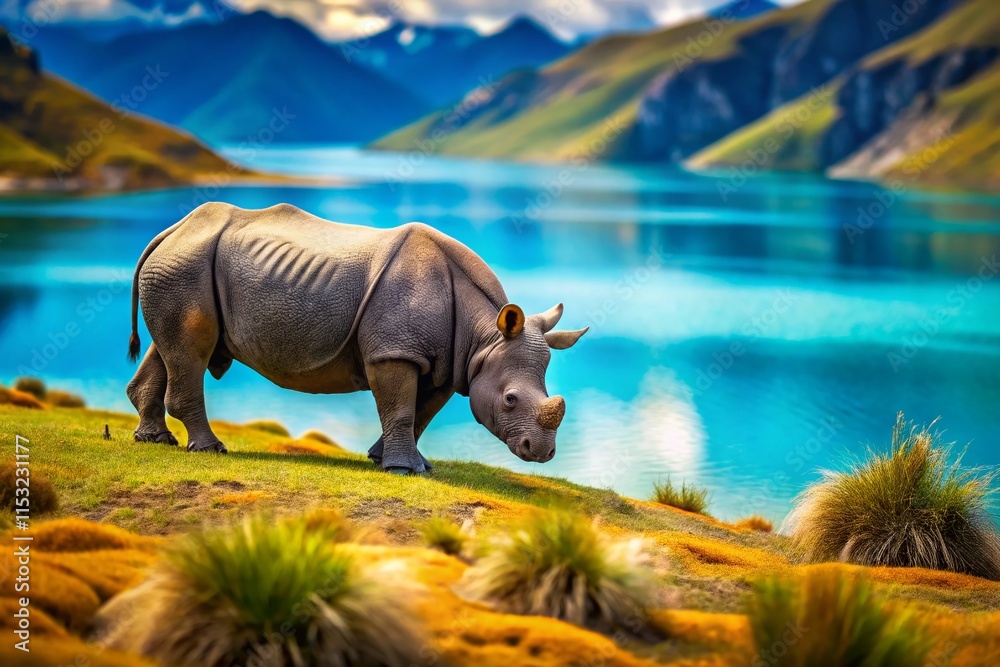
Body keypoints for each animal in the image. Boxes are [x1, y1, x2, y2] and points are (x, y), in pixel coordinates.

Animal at [126, 203, 588, 473]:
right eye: (509, 400)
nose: (541, 452)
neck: (484, 338)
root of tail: (171, 230)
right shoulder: (395, 351)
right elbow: (400, 407)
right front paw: (403, 470)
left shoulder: (447, 362)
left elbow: (421, 414)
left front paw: (392, 460)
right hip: (185, 265)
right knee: (190, 350)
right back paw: (210, 450)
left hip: (180, 265)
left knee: (171, 349)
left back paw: (154, 439)